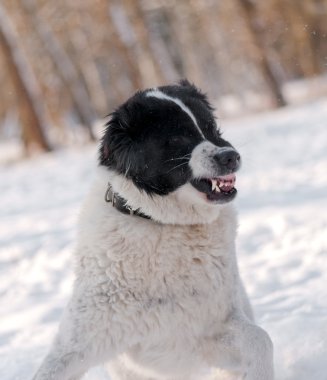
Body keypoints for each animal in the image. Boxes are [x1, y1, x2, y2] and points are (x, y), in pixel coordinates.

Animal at [33, 81, 274, 380]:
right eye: (177, 137)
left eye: (211, 127)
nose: (230, 156)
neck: (162, 224)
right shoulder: (80, 342)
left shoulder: (208, 330)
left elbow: (261, 340)